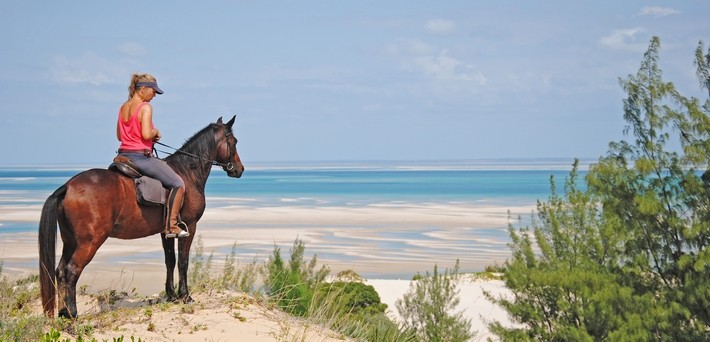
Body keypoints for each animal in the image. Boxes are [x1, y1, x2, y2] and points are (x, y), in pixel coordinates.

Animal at [38, 115, 245, 318]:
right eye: (234, 141)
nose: (239, 169)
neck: (187, 172)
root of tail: (68, 186)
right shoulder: (190, 226)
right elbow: (183, 261)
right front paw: (185, 296)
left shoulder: (166, 232)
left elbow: (170, 261)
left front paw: (171, 295)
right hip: (89, 242)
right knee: (71, 271)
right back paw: (72, 313)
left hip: (70, 241)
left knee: (60, 271)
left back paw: (63, 312)